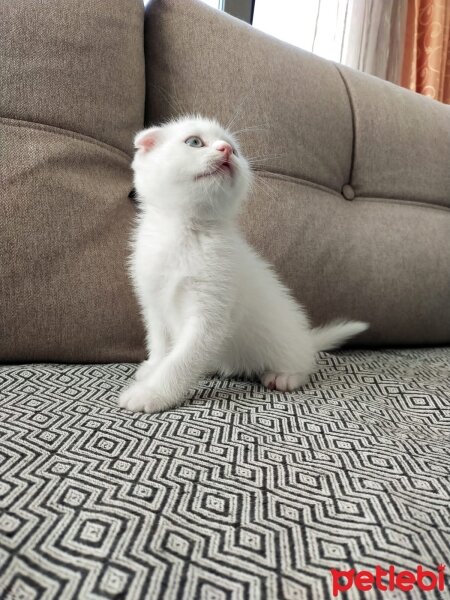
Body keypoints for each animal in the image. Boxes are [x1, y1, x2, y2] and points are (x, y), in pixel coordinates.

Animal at [119, 116, 370, 412]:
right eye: (194, 142)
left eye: (235, 150)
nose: (226, 150)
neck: (186, 232)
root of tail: (306, 340)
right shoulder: (153, 301)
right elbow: (159, 341)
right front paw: (153, 367)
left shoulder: (212, 310)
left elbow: (181, 360)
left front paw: (151, 393)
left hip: (286, 343)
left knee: (304, 363)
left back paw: (285, 376)